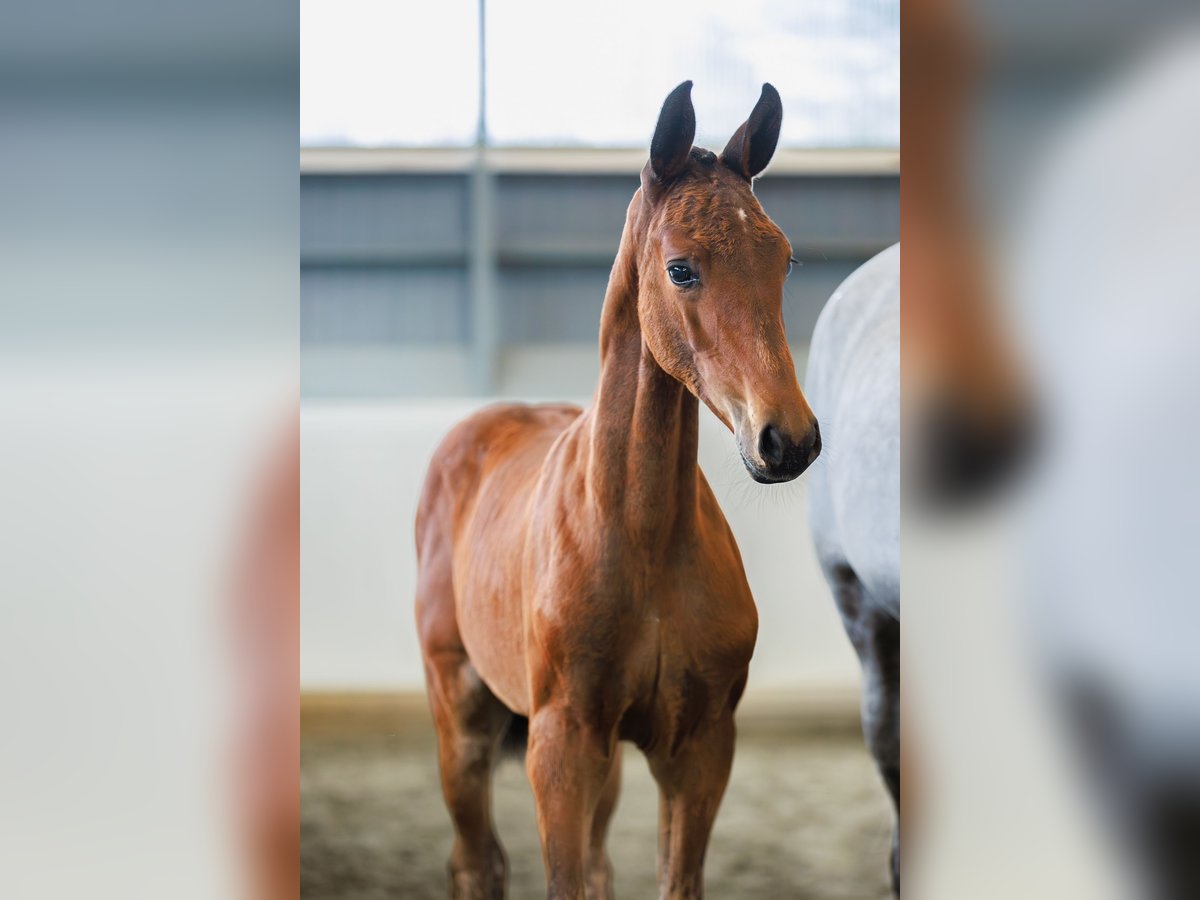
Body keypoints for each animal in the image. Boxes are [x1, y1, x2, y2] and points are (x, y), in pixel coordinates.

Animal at [417, 81, 820, 897]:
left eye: (784, 259)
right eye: (681, 268)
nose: (787, 439)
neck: (642, 540)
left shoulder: (698, 748)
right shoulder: (561, 749)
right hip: (460, 715)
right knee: (477, 862)